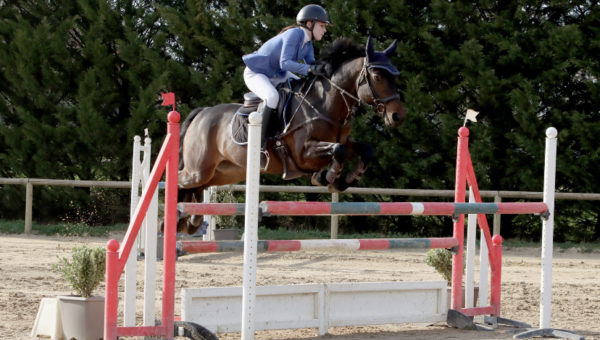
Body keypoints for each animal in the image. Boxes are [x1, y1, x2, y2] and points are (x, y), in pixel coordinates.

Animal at [176, 37, 406, 234]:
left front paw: (344, 180)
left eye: (395, 78)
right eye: (377, 77)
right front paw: (327, 176)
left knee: (199, 187)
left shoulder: (343, 143)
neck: (324, 104)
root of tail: (202, 112)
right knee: (180, 180)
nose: (397, 116)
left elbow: (365, 150)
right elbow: (337, 151)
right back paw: (178, 216)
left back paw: (191, 220)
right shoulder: (303, 154)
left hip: (226, 171)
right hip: (198, 170)